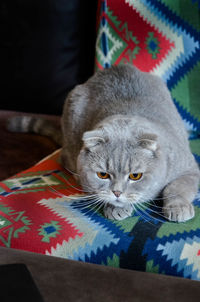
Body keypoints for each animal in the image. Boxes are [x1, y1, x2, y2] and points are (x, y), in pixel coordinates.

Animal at [7, 65, 198, 222]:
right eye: (103, 175)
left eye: (135, 176)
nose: (117, 193)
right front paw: (116, 208)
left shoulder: (190, 169)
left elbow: (176, 188)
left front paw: (178, 207)